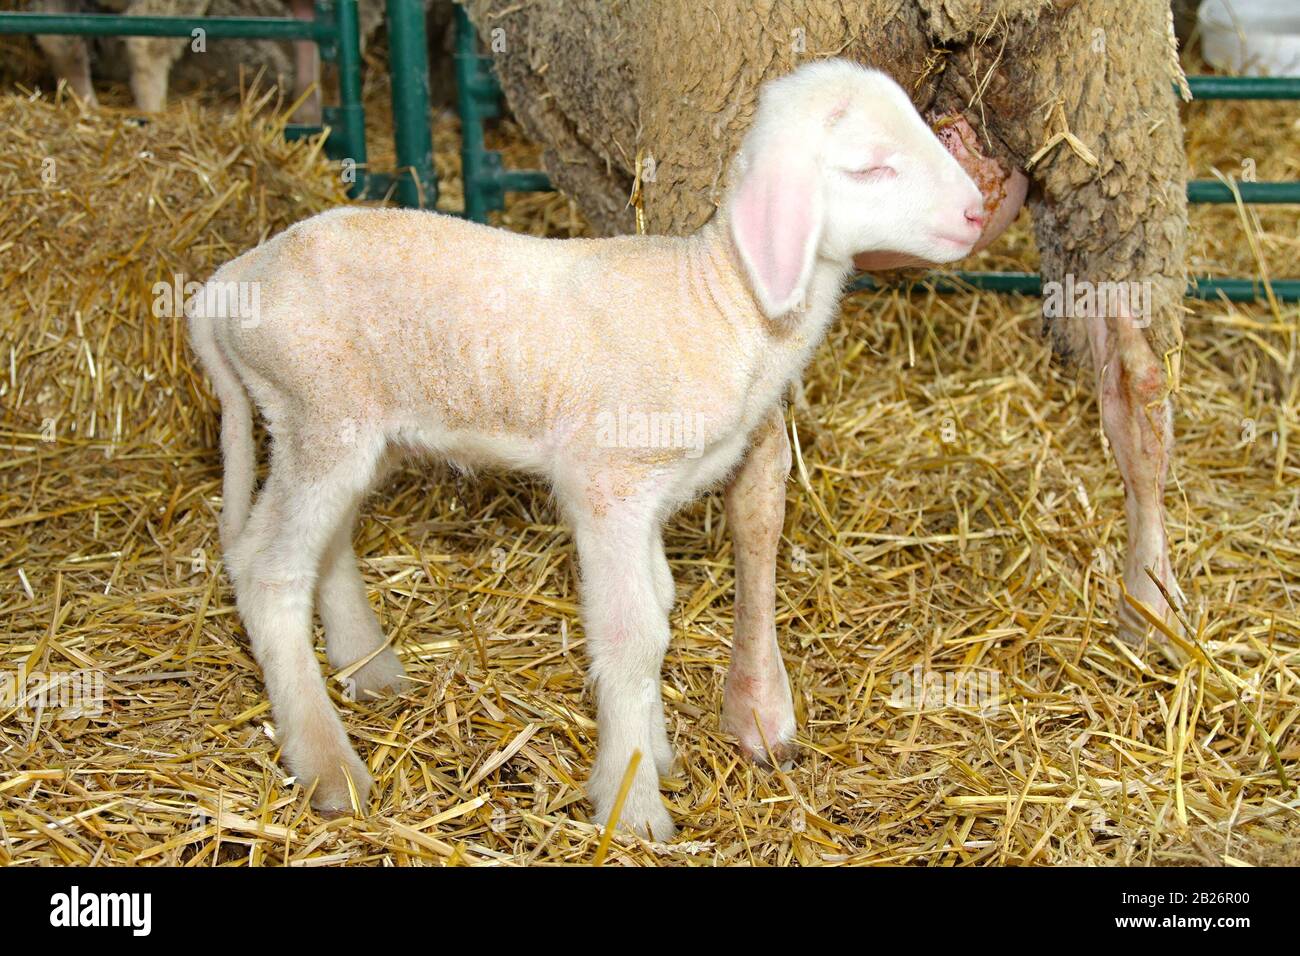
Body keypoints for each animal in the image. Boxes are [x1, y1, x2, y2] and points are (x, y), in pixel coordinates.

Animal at [188, 59, 986, 839]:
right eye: (870, 167)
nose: (978, 212)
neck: (722, 302)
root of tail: (228, 283)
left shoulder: (650, 496)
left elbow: (660, 604)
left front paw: (654, 752)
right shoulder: (607, 485)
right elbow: (633, 636)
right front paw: (632, 807)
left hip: (348, 431)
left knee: (326, 546)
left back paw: (370, 669)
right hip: (318, 412)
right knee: (267, 572)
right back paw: (329, 766)